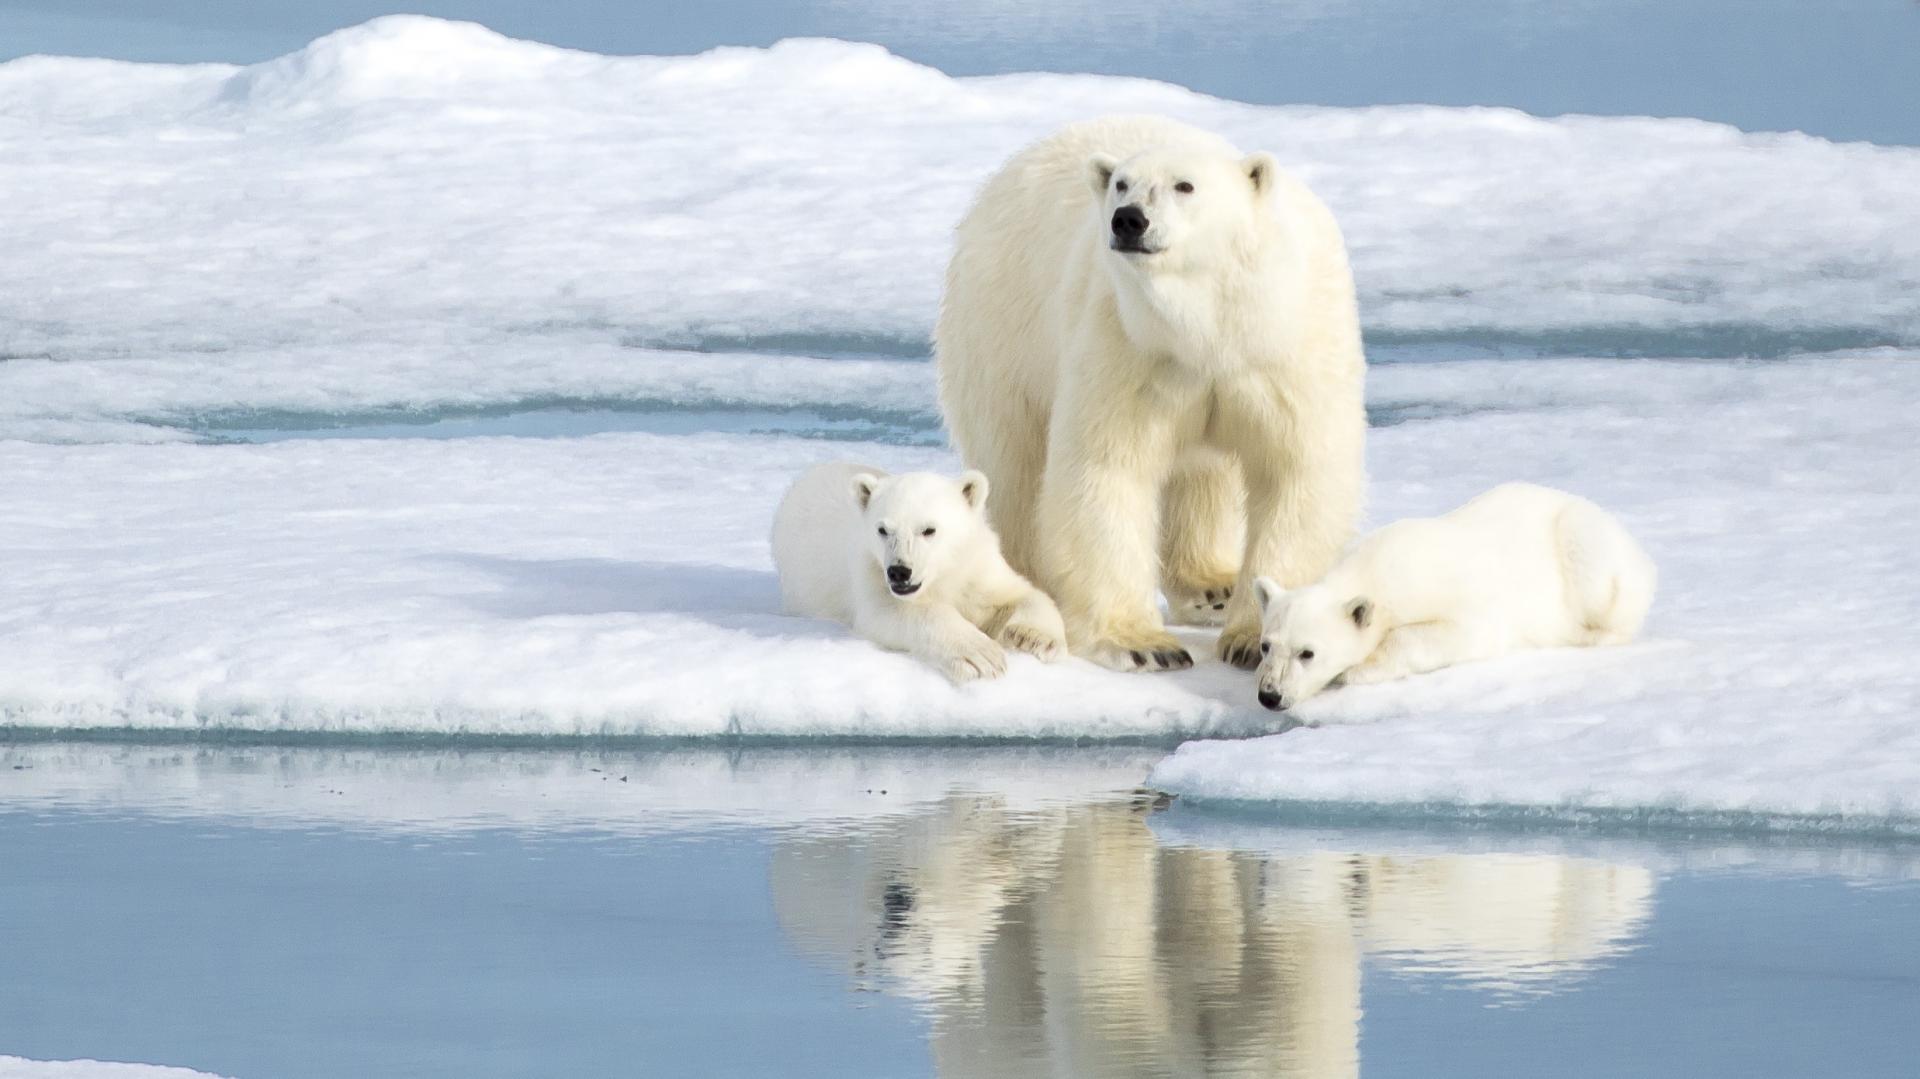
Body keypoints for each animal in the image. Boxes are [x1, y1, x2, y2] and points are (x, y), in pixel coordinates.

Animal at [933, 117, 1367, 671]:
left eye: (1185, 186)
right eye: (1122, 183)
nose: (1129, 220)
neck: (1209, 327)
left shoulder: (1283, 354)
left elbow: (1294, 472)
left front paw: (1252, 640)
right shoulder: (1128, 344)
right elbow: (1107, 470)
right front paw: (1143, 644)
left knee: (1204, 476)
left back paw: (1211, 586)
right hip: (1002, 327)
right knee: (1016, 464)